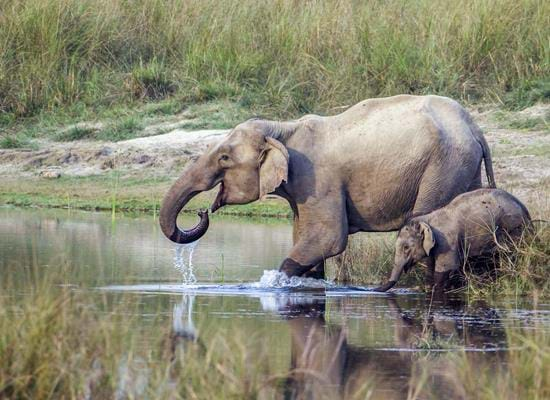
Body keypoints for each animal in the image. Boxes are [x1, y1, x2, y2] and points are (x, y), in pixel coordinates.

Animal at [158, 95, 496, 280]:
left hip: (442, 168)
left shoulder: (318, 180)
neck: (283, 129)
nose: (202, 212)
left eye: (224, 158)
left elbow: (328, 239)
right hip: (462, 169)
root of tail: (475, 129)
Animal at [378, 189, 532, 292]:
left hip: (513, 228)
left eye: (406, 248)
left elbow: (444, 270)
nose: (375, 289)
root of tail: (524, 209)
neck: (428, 218)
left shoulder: (447, 241)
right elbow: (431, 267)